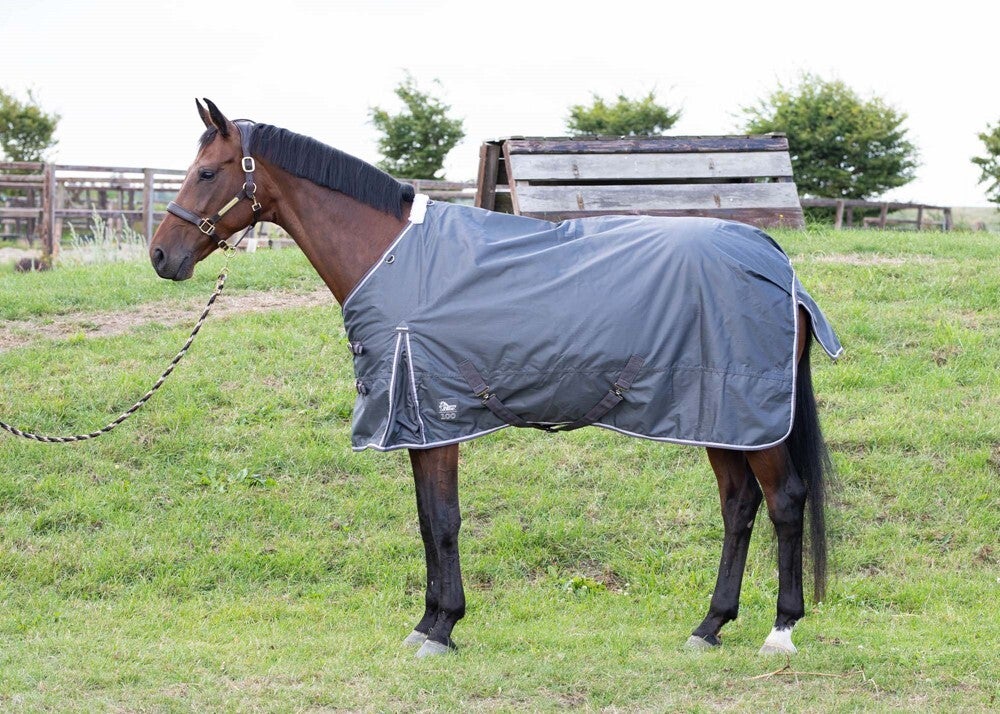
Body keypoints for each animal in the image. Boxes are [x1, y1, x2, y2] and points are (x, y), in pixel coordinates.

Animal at [149, 99, 841, 658]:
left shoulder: (435, 416)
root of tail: (775, 260)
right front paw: (428, 624)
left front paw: (442, 628)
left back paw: (780, 631)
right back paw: (709, 626)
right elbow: (427, 519)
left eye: (207, 172)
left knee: (784, 502)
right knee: (738, 505)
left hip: (749, 416)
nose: (161, 255)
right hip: (718, 417)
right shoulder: (421, 422)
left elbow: (444, 520)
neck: (394, 257)